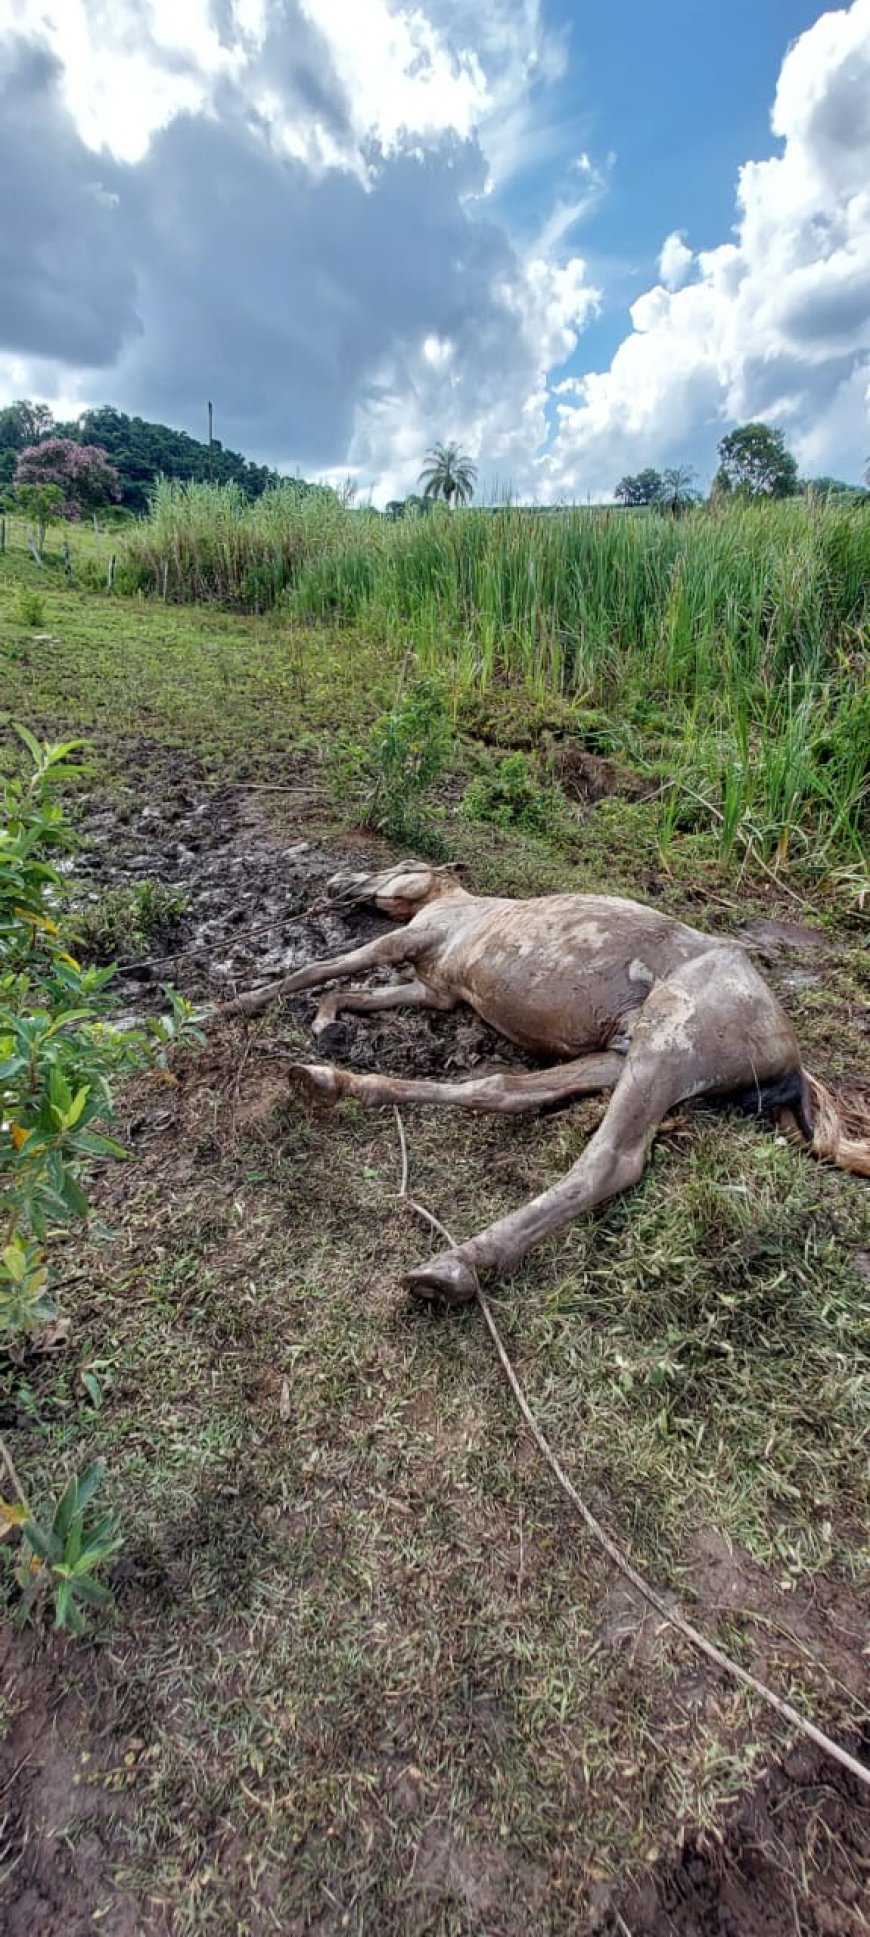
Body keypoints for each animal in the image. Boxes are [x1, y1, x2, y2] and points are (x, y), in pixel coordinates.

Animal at [225, 871, 868, 1309]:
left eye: (396, 869)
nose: (338, 884)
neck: (459, 906)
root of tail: (792, 1062)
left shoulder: (401, 946)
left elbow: (314, 971)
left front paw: (229, 1007)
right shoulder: (434, 991)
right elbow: (354, 992)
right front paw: (323, 1024)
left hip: (667, 1046)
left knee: (611, 1161)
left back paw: (454, 1268)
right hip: (616, 1059)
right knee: (507, 1090)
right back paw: (329, 1082)